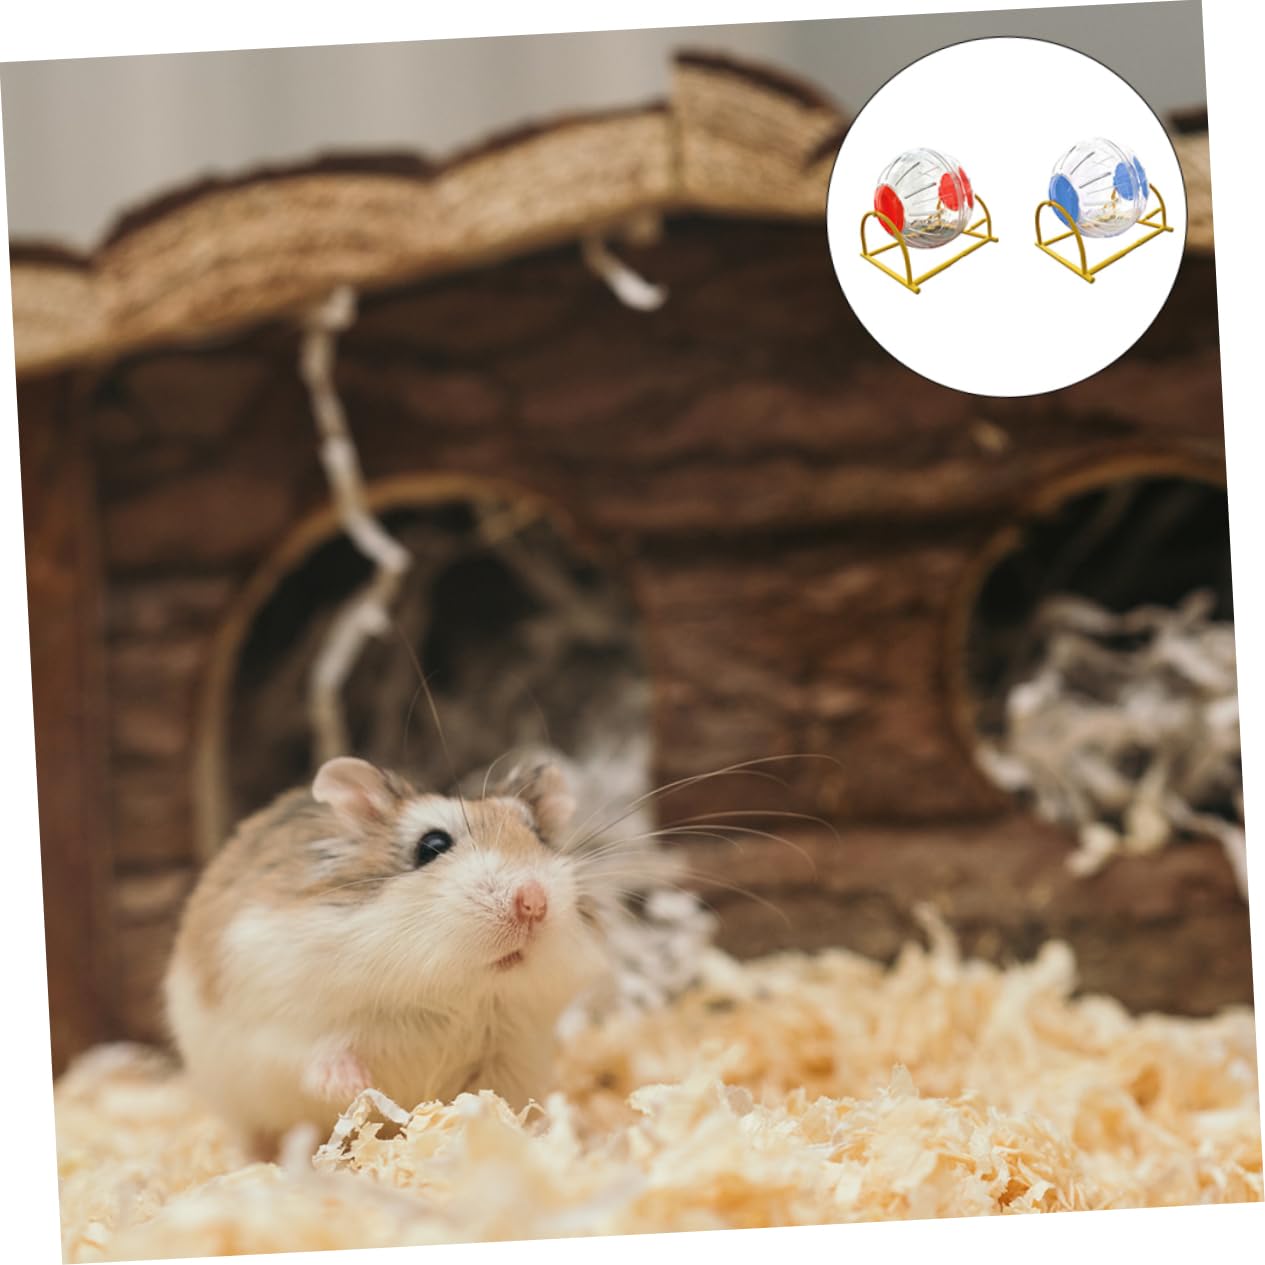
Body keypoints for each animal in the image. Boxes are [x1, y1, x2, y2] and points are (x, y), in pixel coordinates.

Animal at [164, 755, 610, 1152]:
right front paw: (357, 1087)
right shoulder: (282, 1022)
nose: (533, 902)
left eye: (539, 837)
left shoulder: (511, 1054)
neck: (453, 992)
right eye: (432, 845)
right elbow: (317, 1055)